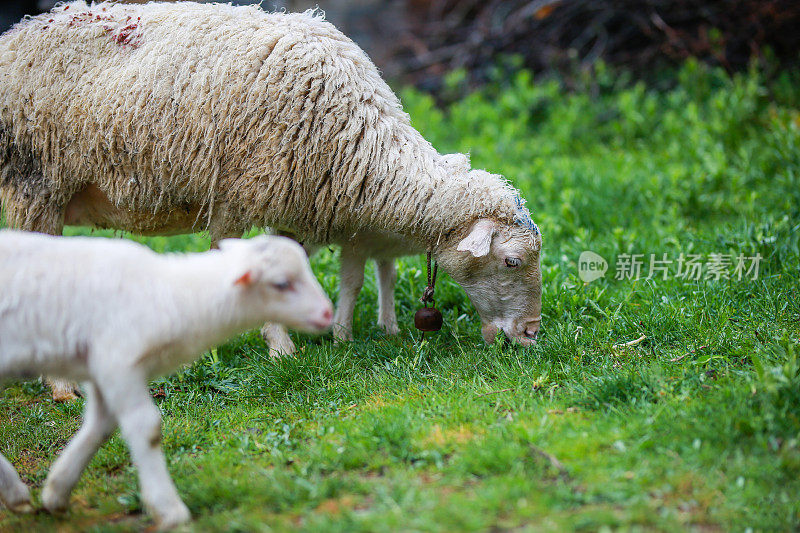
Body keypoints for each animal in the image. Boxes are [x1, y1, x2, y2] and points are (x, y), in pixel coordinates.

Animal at [0, 230, 332, 528]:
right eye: (281, 283)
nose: (328, 313)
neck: (174, 294)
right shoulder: (117, 361)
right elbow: (146, 428)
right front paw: (169, 510)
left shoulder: (104, 368)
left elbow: (100, 427)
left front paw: (56, 492)